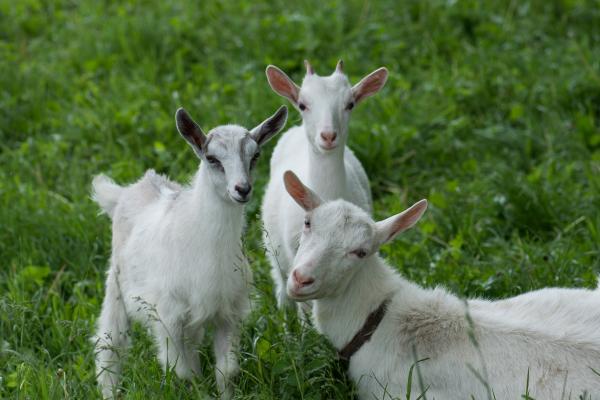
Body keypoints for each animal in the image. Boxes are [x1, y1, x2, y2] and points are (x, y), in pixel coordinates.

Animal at [91, 106, 288, 400]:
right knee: (110, 342)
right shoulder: (167, 317)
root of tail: (127, 192)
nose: (242, 189)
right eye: (212, 158)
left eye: (255, 155)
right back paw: (110, 391)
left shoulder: (227, 312)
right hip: (116, 283)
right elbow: (182, 372)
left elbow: (226, 371)